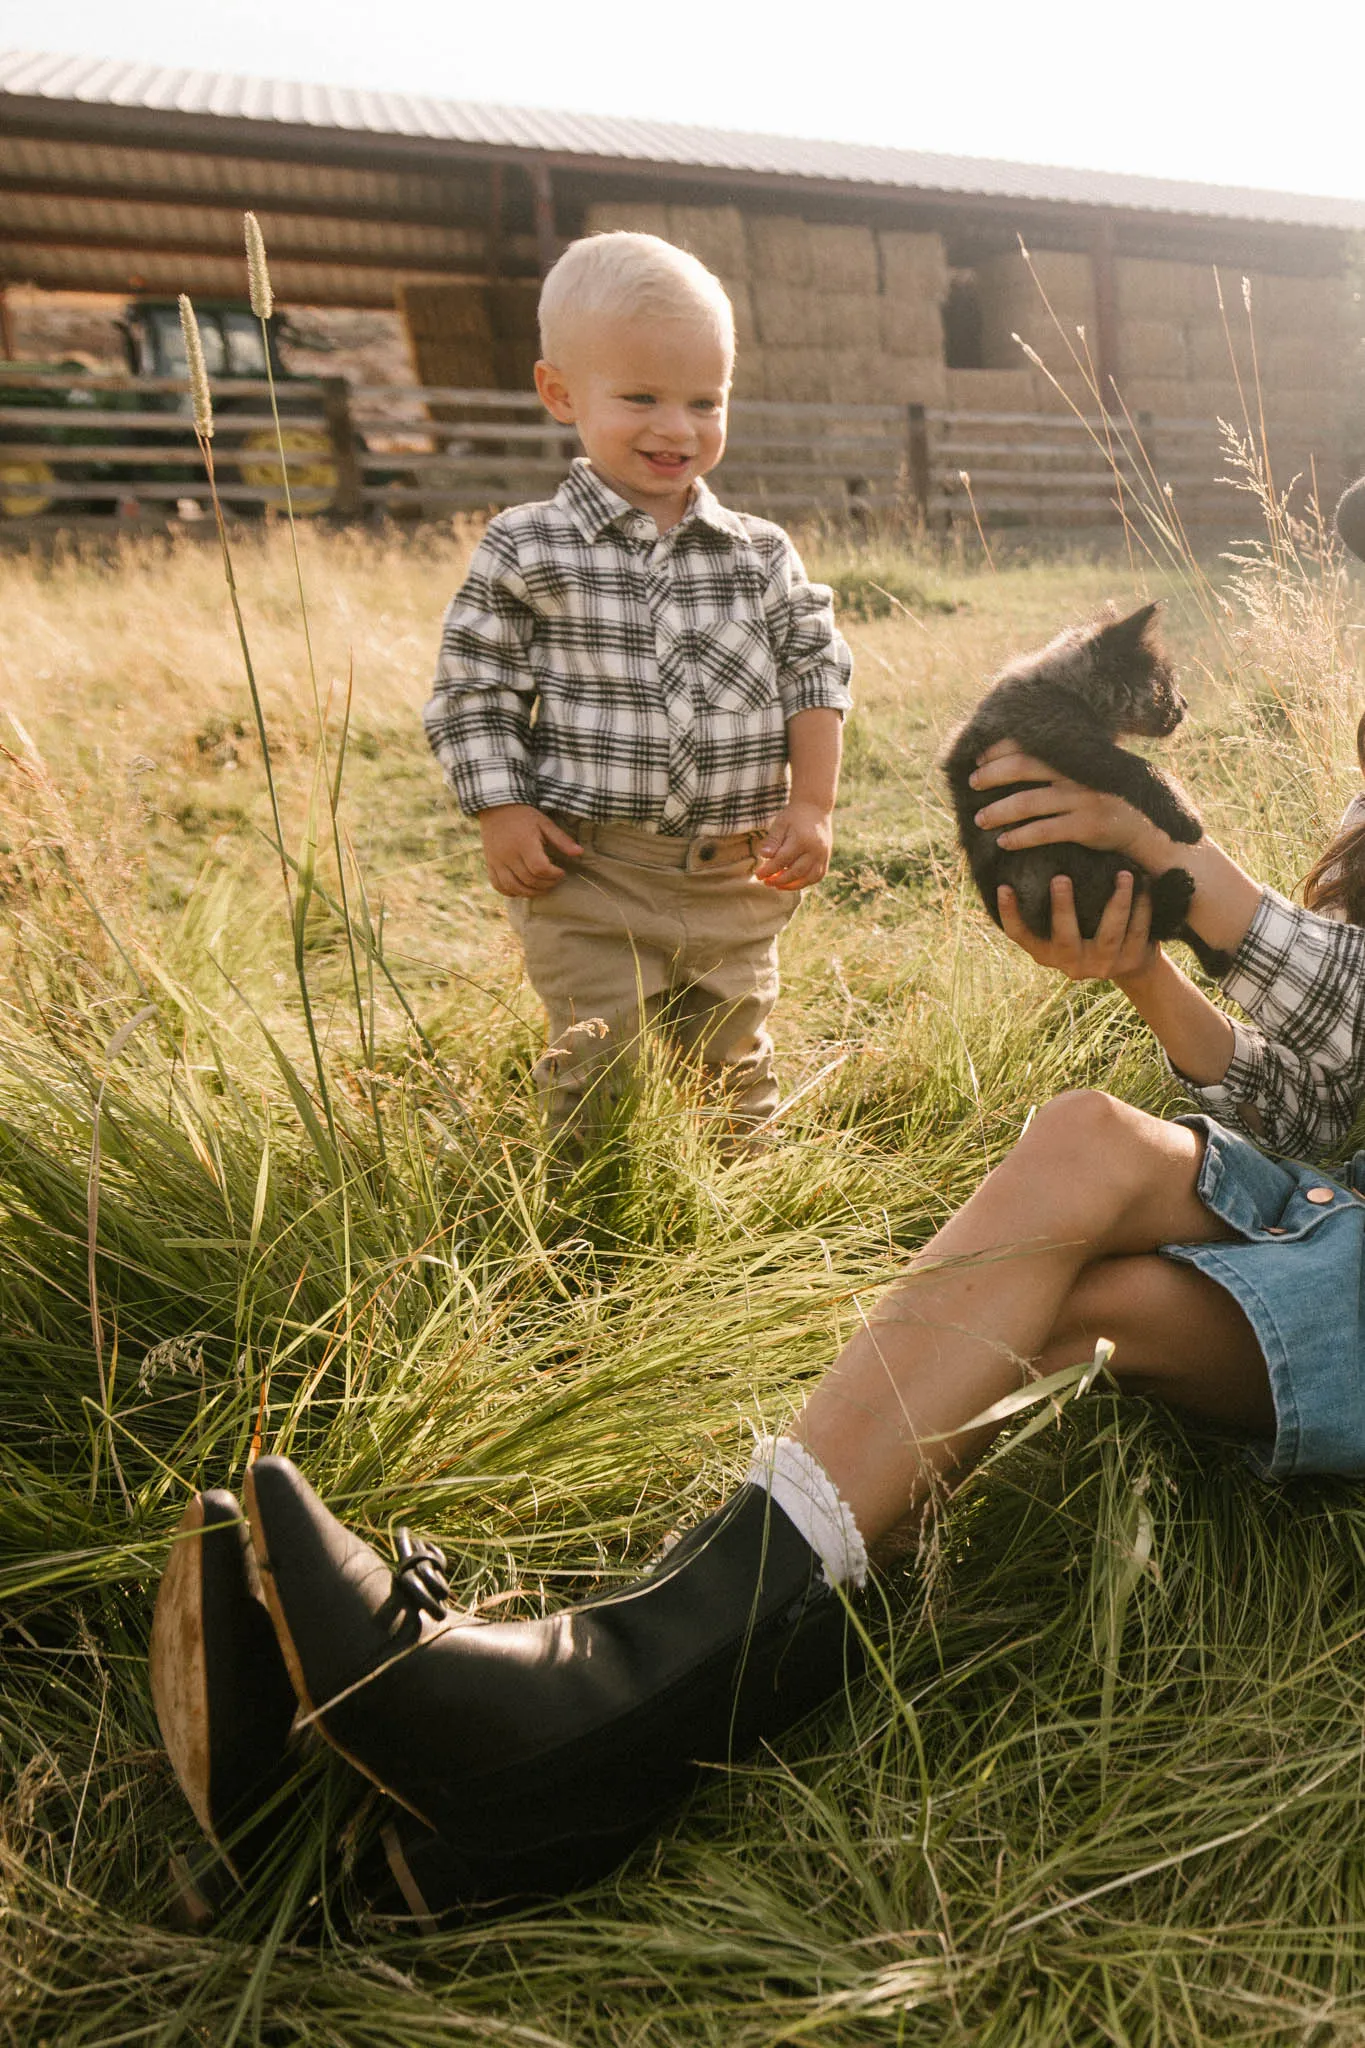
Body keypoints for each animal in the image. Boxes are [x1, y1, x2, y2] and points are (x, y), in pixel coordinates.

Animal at [941, 598, 1227, 974]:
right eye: (1166, 683)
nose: (1185, 705)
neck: (1065, 687)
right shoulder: (1066, 737)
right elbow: (1137, 767)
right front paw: (1185, 818)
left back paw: (1213, 956)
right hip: (1087, 875)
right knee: (1151, 922)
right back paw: (1175, 893)